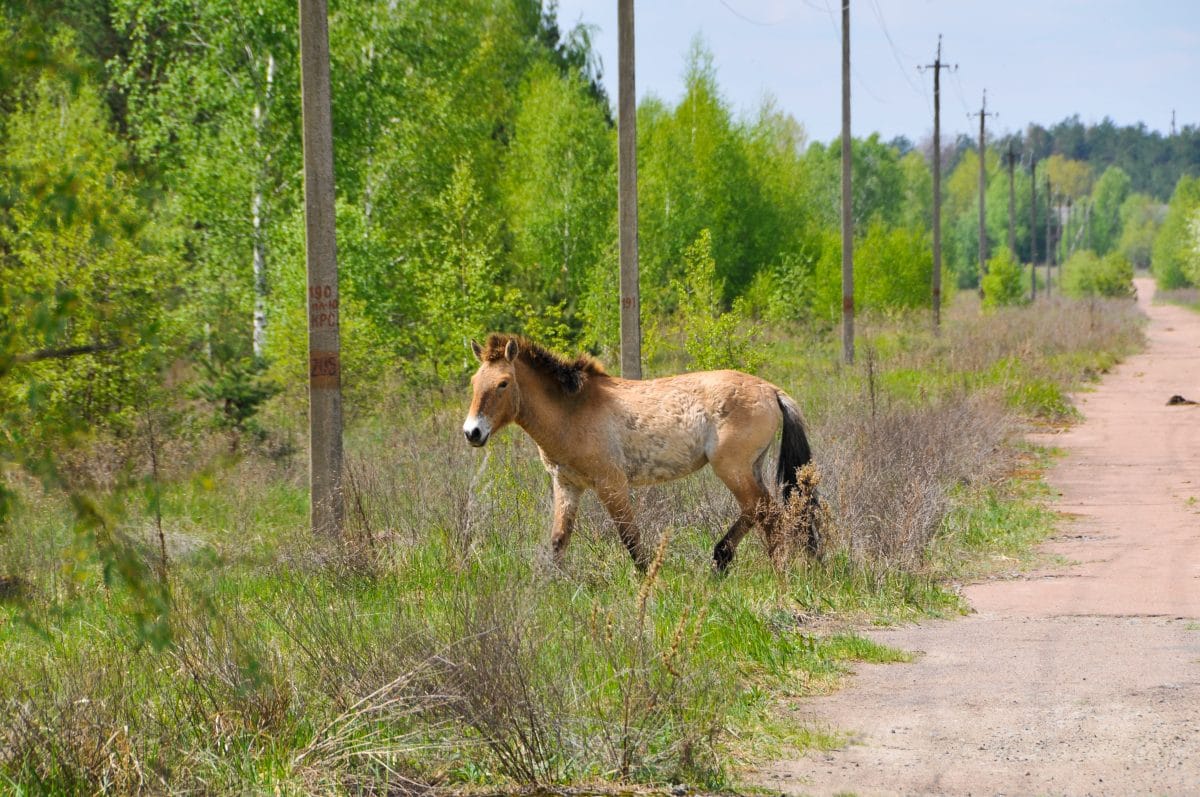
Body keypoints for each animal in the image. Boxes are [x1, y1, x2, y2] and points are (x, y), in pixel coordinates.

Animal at [458, 333, 816, 568]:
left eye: (503, 383)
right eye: (474, 382)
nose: (472, 432)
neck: (571, 412)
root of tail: (771, 390)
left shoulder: (611, 485)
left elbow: (630, 538)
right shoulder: (567, 485)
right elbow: (559, 541)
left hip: (732, 469)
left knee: (767, 513)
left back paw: (775, 572)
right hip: (748, 468)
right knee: (757, 511)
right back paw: (721, 559)